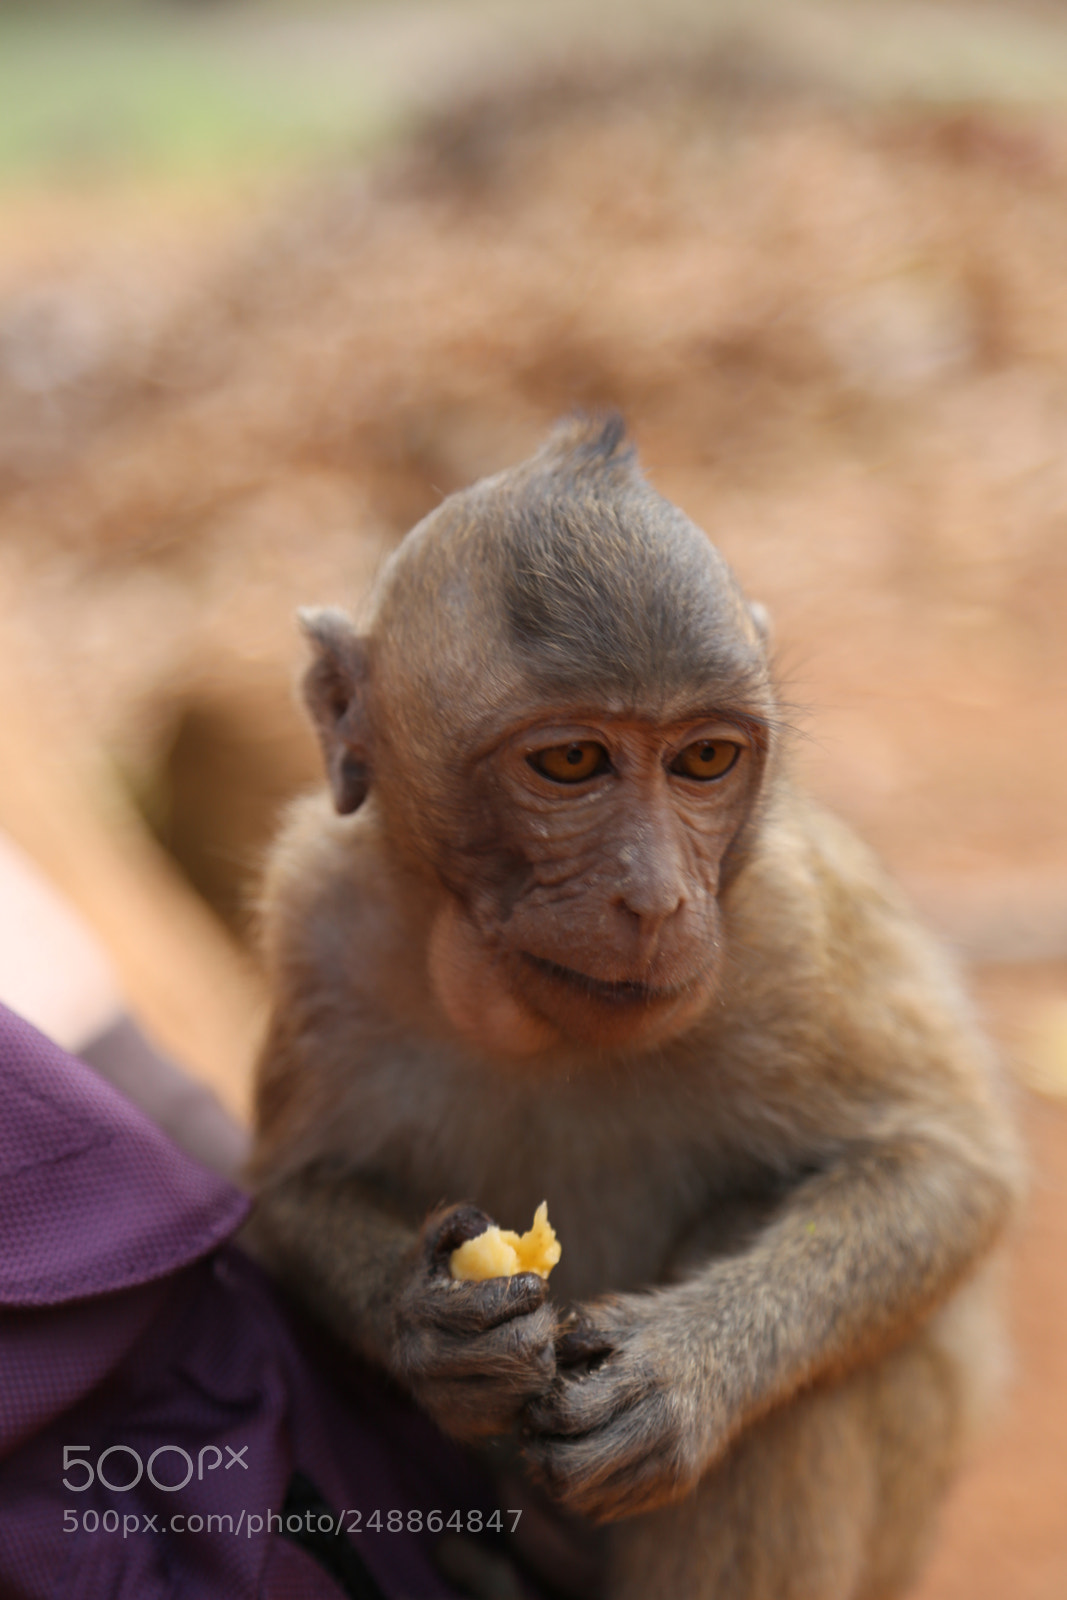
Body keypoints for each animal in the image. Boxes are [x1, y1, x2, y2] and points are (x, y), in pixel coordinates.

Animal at [246, 415, 1019, 1600]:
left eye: (704, 756)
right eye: (571, 760)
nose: (656, 899)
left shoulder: (794, 920)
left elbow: (946, 1169)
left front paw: (685, 1373)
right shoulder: (314, 922)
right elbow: (286, 1196)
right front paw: (431, 1335)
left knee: (823, 1380)